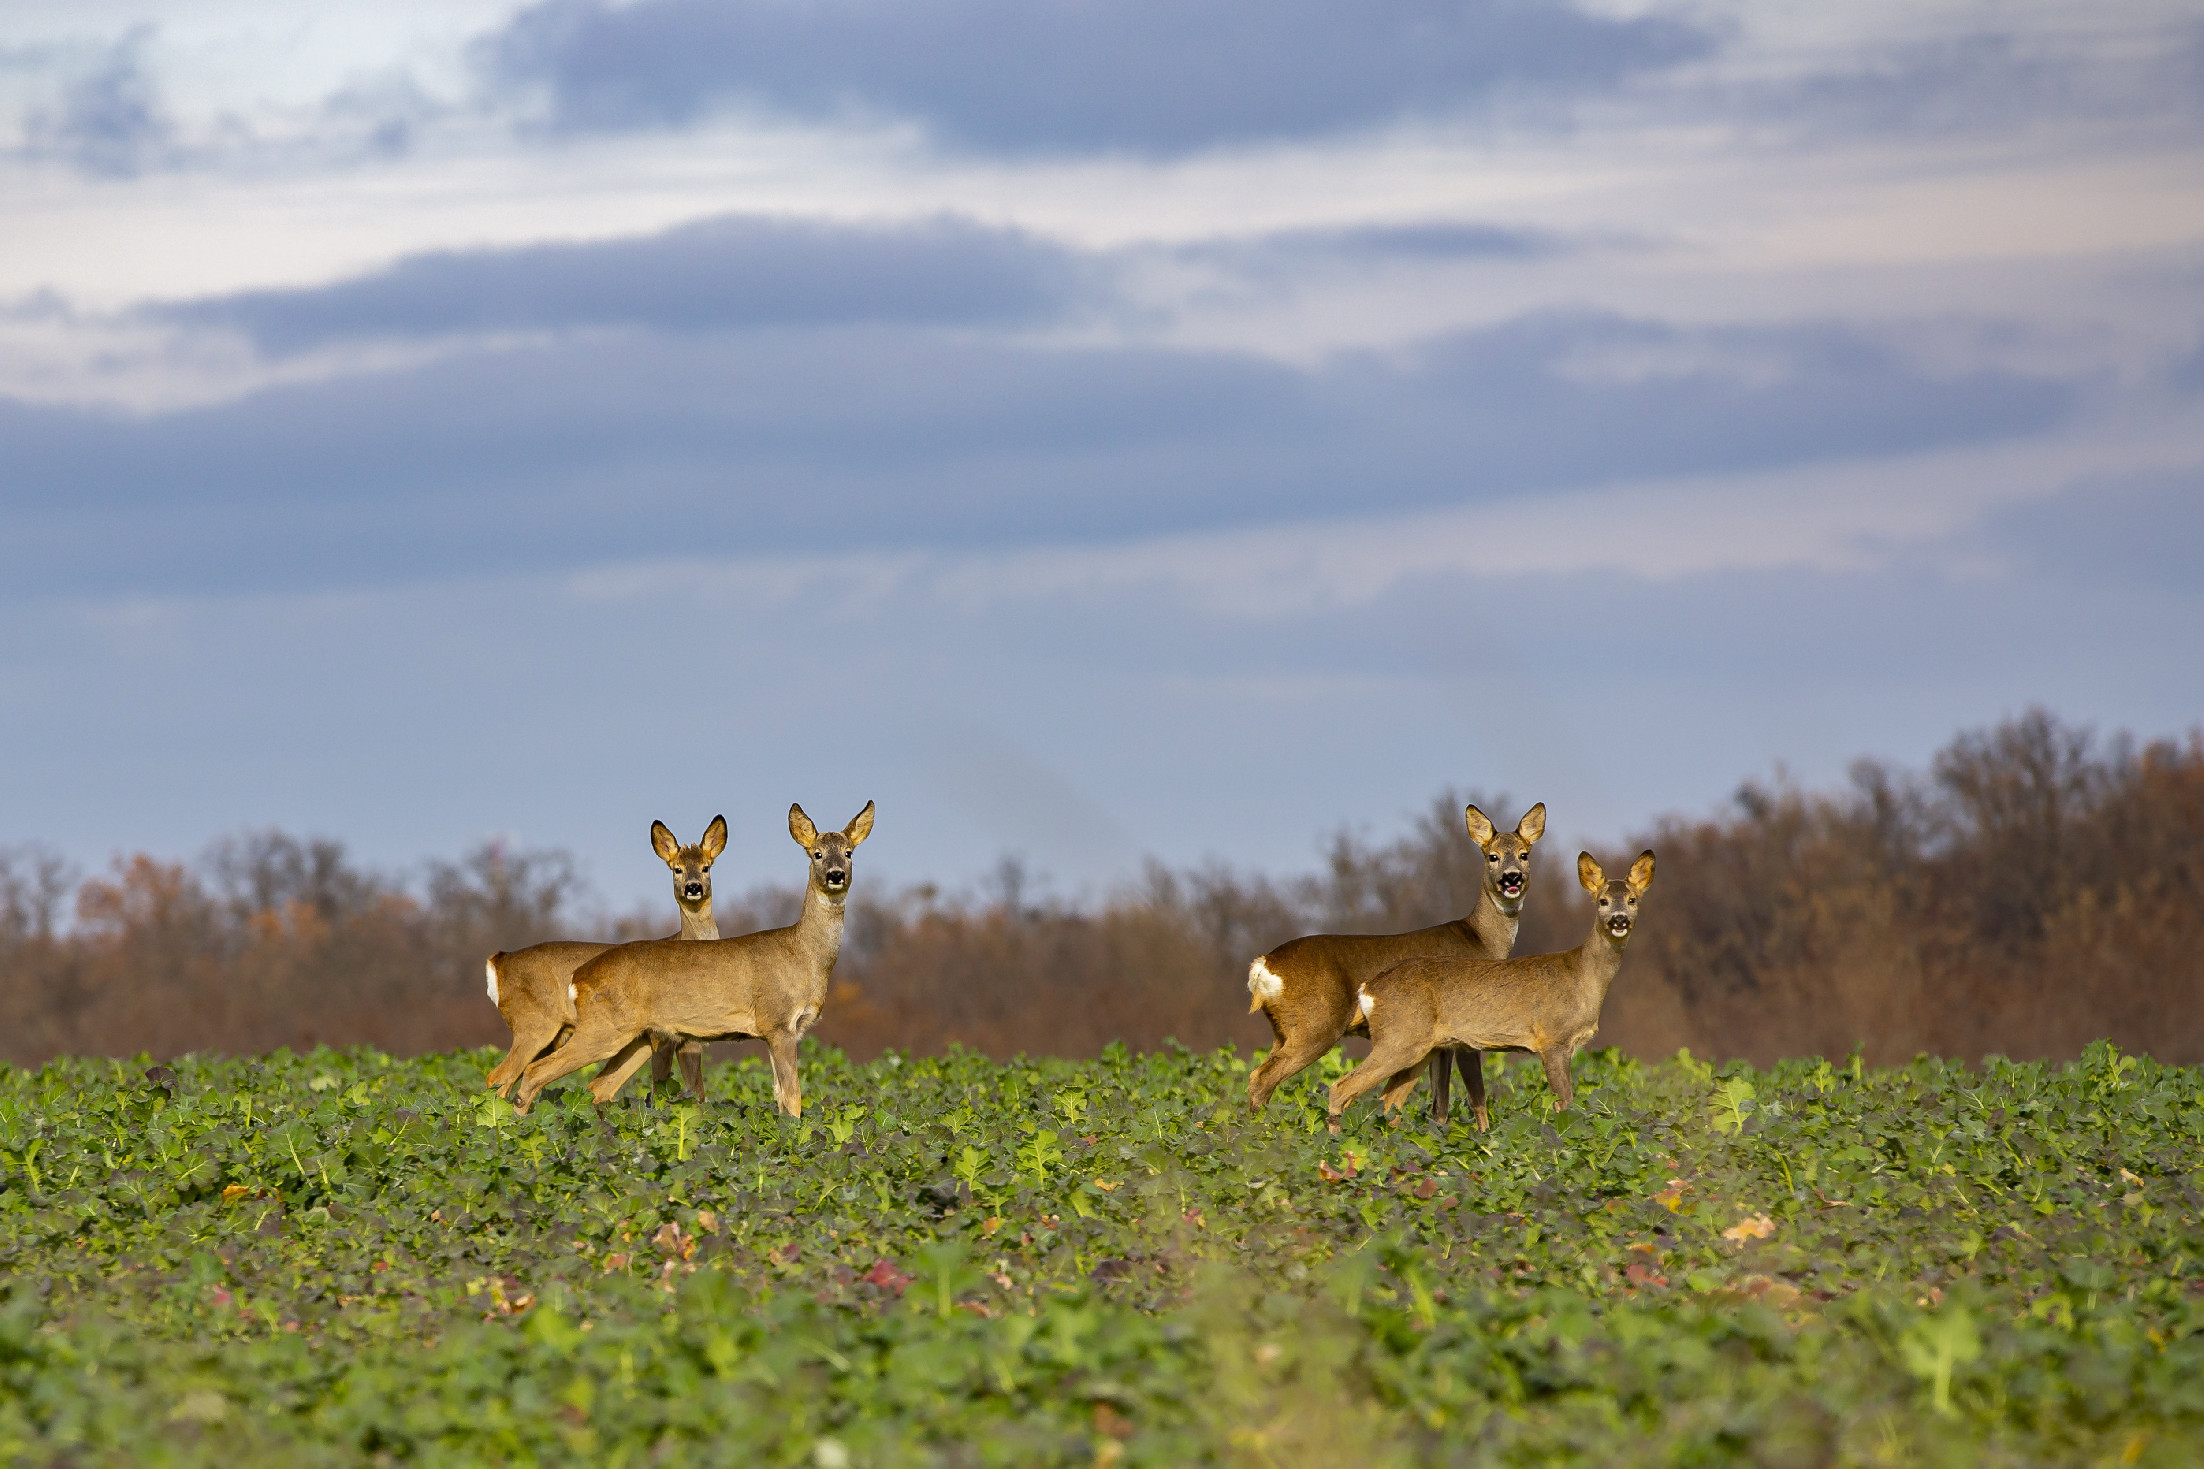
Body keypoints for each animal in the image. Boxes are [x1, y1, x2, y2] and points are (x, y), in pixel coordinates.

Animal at [480, 814, 722, 1101]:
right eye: (677, 869)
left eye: (706, 867)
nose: (693, 888)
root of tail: (498, 961)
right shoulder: (663, 1035)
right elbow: (661, 1089)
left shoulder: (686, 1038)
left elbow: (695, 1090)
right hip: (533, 1024)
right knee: (498, 1076)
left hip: (554, 1036)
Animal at [506, 806, 868, 1114]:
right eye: (817, 854)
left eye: (849, 853)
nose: (836, 875)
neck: (804, 955)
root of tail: (579, 977)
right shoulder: (777, 1021)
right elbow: (793, 1097)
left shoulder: (776, 1032)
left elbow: (780, 1096)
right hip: (604, 1028)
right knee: (536, 1070)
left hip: (636, 1038)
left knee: (597, 1086)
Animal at [1243, 806, 1551, 1114]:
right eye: (1492, 856)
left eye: (1524, 854)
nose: (1511, 878)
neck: (1480, 939)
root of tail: (1265, 963)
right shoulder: (1464, 1032)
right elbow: (1468, 1098)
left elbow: (1439, 1101)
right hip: (1316, 1024)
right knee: (1264, 1077)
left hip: (1283, 1030)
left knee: (1259, 1075)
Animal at [1322, 845, 1657, 1136]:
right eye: (1602, 901)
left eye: (1632, 900)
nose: (1618, 921)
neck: (1583, 976)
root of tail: (1370, 988)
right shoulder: (1553, 1040)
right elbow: (1565, 1103)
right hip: (1399, 1038)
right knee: (1341, 1088)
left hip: (1420, 1048)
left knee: (1388, 1101)